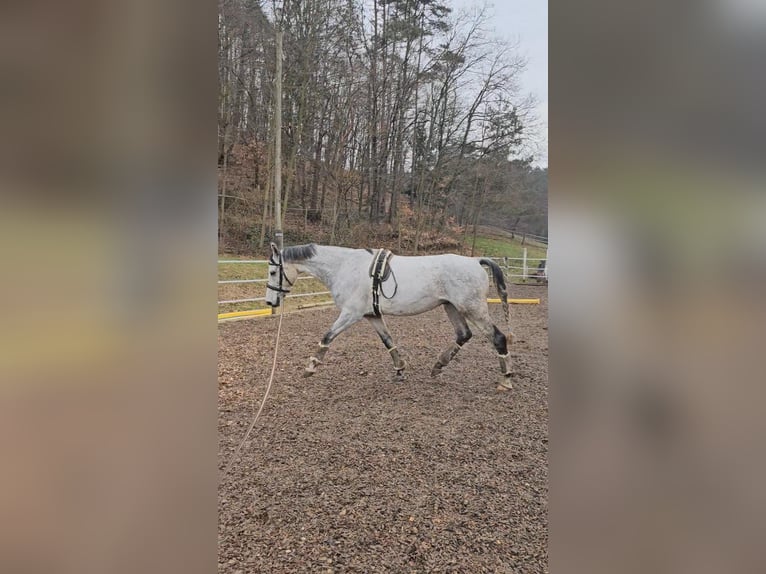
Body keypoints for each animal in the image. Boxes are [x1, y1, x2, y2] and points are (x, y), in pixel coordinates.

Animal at [264, 243, 516, 392]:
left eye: (273, 272)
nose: (270, 302)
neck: (344, 267)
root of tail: (475, 261)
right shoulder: (371, 315)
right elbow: (388, 341)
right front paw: (400, 370)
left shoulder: (351, 313)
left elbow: (327, 336)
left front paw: (311, 367)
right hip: (451, 307)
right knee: (464, 334)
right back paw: (437, 367)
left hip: (472, 309)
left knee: (497, 337)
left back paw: (506, 379)